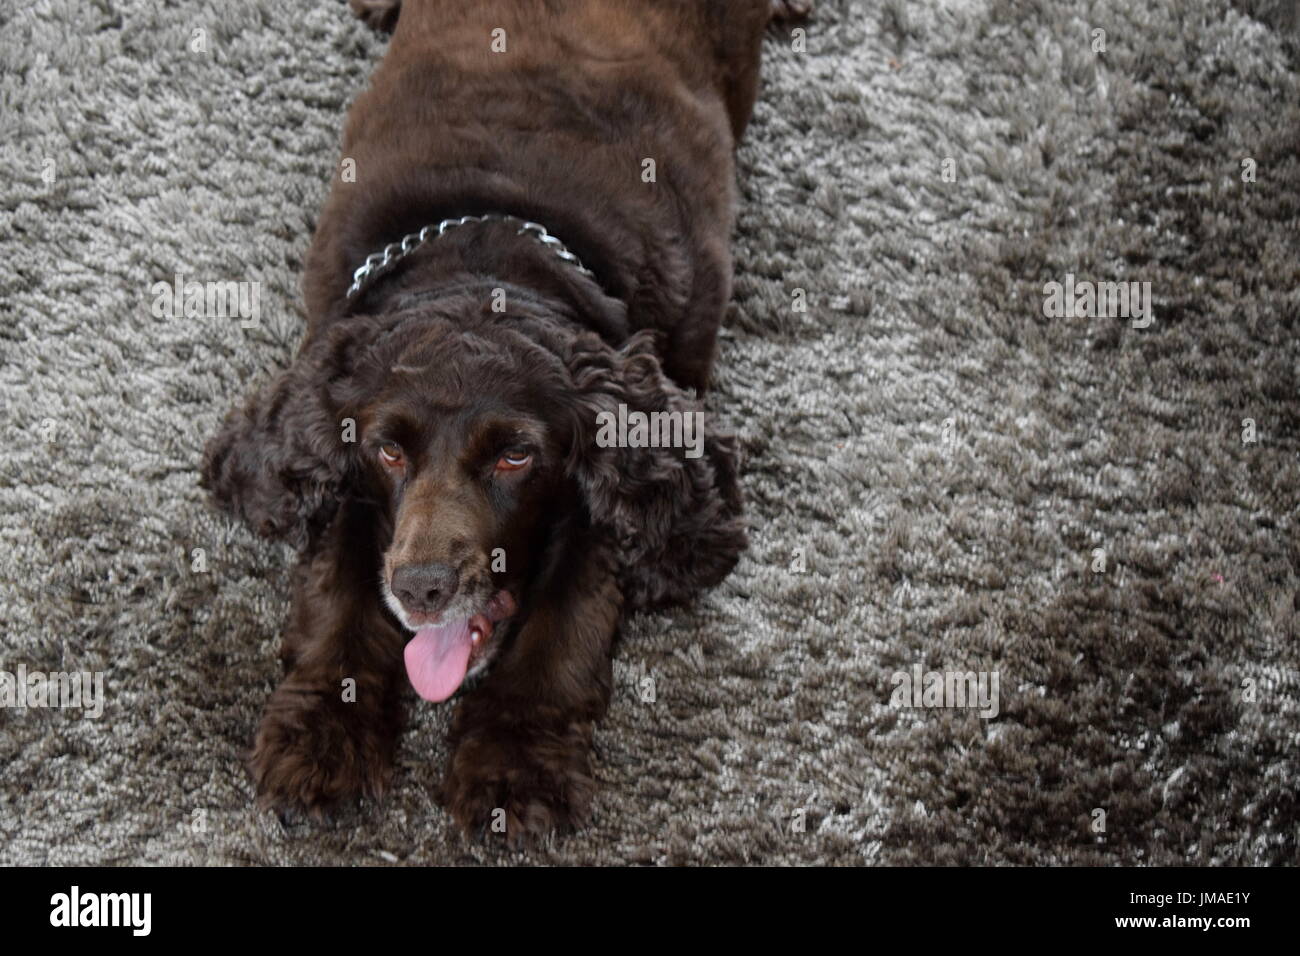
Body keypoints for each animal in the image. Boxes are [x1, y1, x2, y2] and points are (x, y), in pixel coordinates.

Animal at [200, 0, 800, 842]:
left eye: (516, 457)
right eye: (388, 453)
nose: (422, 589)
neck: (490, 257)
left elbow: (564, 625)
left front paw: (516, 766)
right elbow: (337, 590)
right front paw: (322, 736)